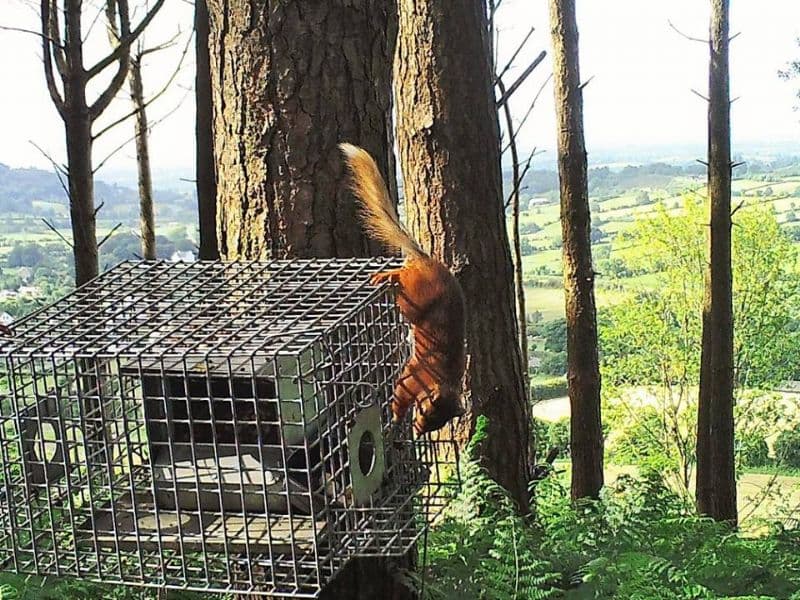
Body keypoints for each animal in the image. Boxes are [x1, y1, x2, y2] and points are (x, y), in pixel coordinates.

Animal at [340, 145, 466, 436]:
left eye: (439, 423)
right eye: (425, 411)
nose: (419, 431)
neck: (442, 380)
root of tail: (424, 260)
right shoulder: (411, 379)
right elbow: (399, 396)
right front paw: (397, 420)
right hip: (413, 299)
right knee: (401, 281)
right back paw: (388, 276)